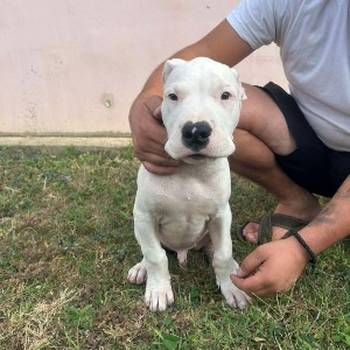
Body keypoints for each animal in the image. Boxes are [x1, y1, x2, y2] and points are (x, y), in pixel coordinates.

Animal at [127, 57, 250, 312]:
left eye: (226, 95)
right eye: (173, 96)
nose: (195, 131)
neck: (191, 170)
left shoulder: (221, 214)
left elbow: (223, 254)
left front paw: (231, 288)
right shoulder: (144, 215)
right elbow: (155, 256)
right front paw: (158, 291)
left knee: (216, 249)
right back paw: (141, 268)